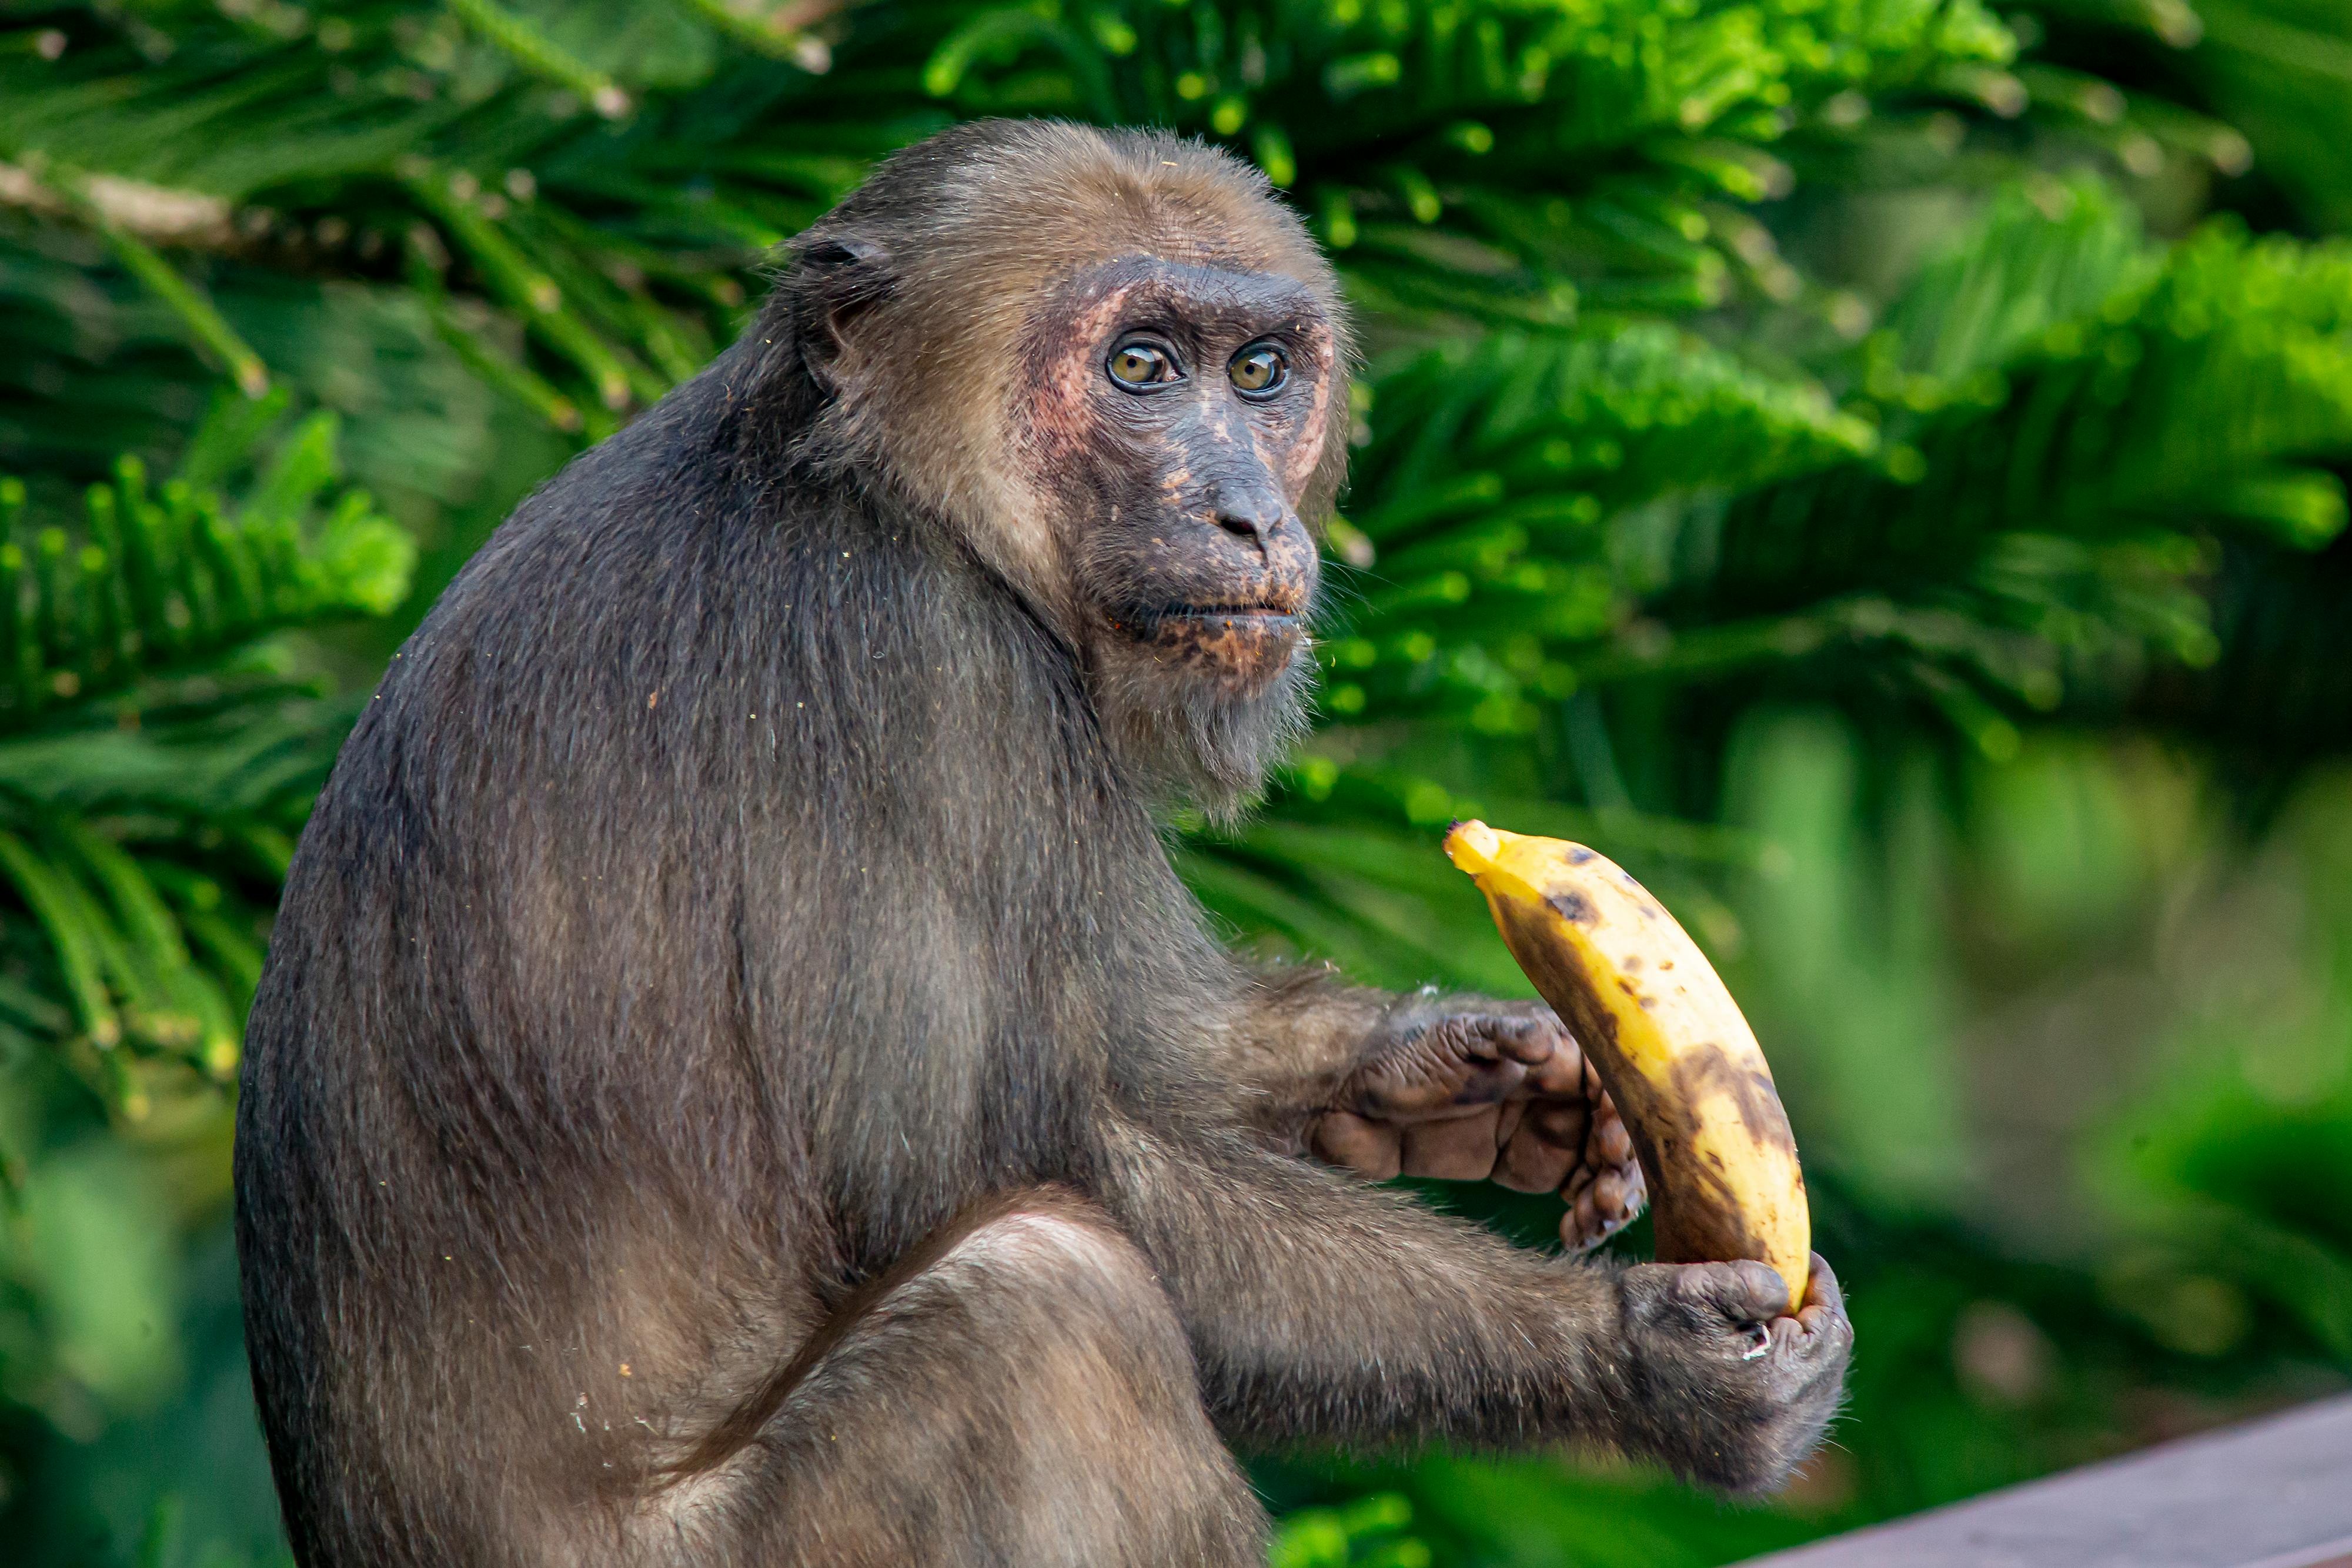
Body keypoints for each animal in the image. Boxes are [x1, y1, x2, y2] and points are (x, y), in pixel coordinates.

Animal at [234, 119, 1850, 1568]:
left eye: (1257, 373)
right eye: (1139, 366)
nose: (1245, 510)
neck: (887, 496)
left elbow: (1136, 1040)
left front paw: (1472, 1072)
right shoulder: (913, 663)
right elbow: (984, 1160)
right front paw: (1646, 1358)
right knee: (1045, 1313)